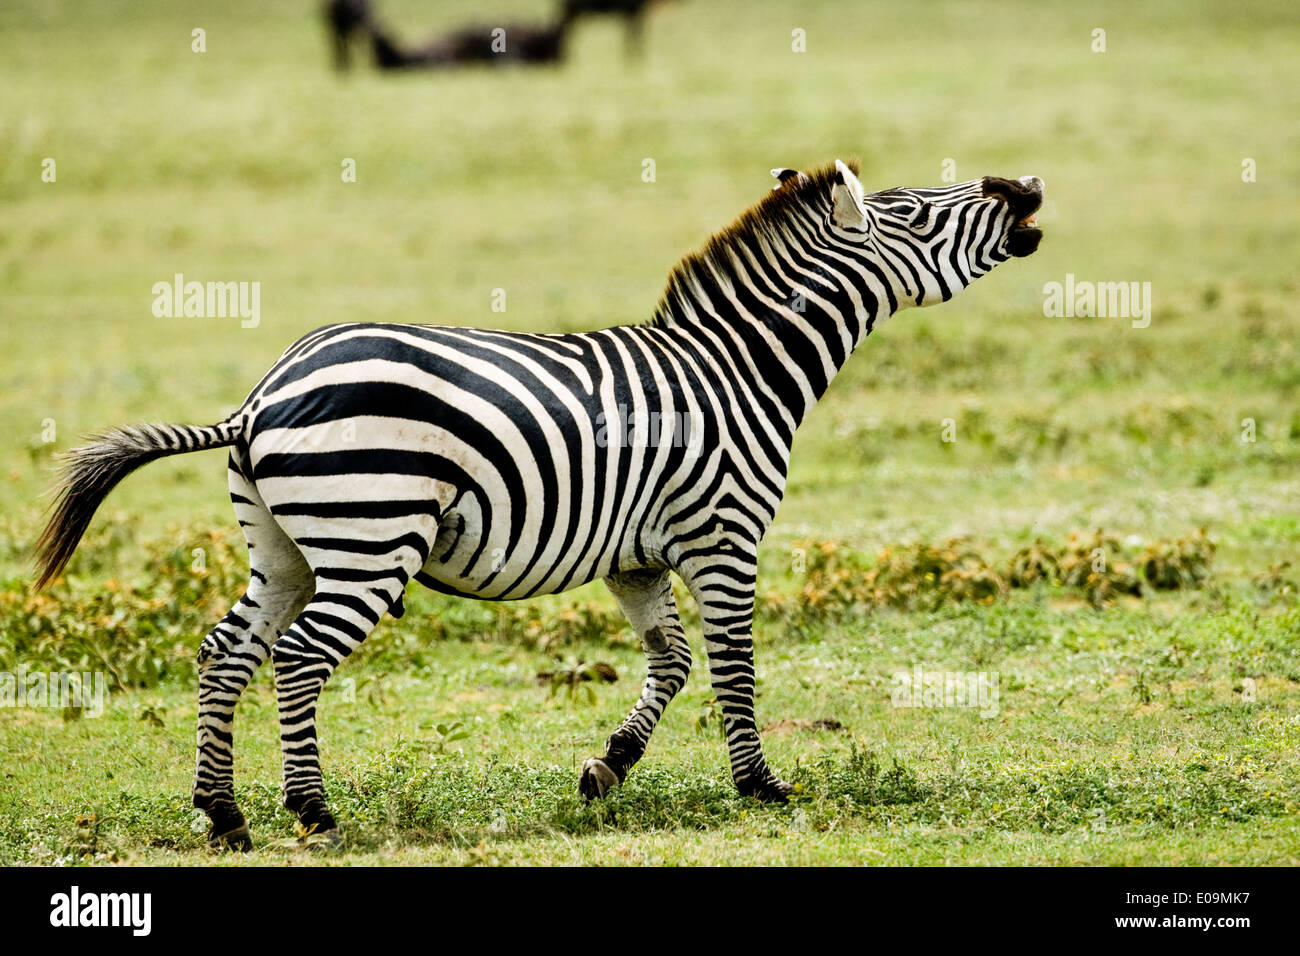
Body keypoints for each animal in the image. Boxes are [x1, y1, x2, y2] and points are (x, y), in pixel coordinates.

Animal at [32, 158, 1045, 853]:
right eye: (918, 212)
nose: (1026, 187)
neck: (739, 369)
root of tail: (259, 396)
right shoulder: (725, 535)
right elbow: (733, 664)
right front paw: (760, 786)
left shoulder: (636, 559)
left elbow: (673, 664)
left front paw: (607, 769)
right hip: (370, 536)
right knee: (299, 657)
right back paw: (313, 812)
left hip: (283, 548)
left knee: (226, 651)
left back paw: (224, 813)